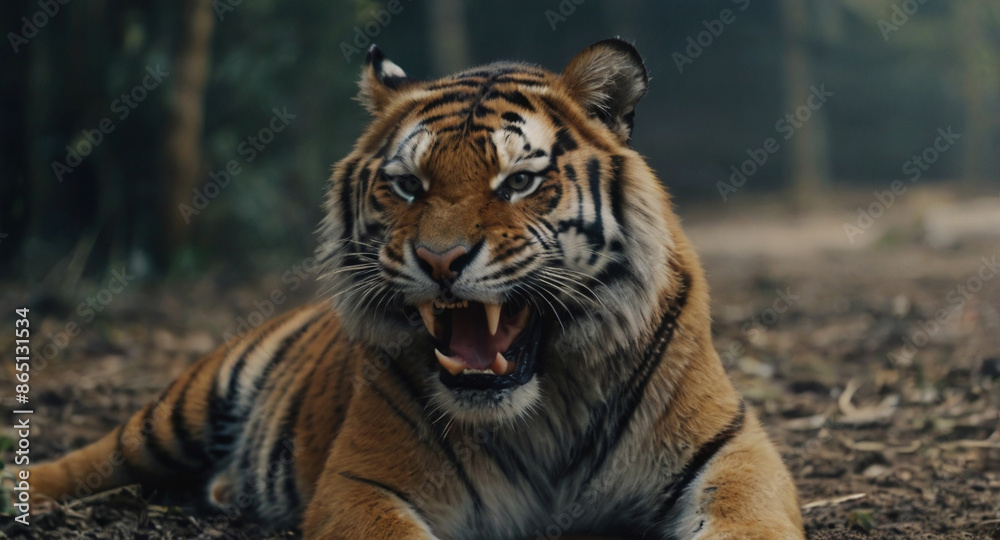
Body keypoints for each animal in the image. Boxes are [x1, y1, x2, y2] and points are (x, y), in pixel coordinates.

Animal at [20, 39, 804, 539]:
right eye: (407, 185)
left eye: (518, 181)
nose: (440, 259)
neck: (544, 406)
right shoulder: (365, 482)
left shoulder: (733, 451)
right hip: (181, 407)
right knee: (97, 456)